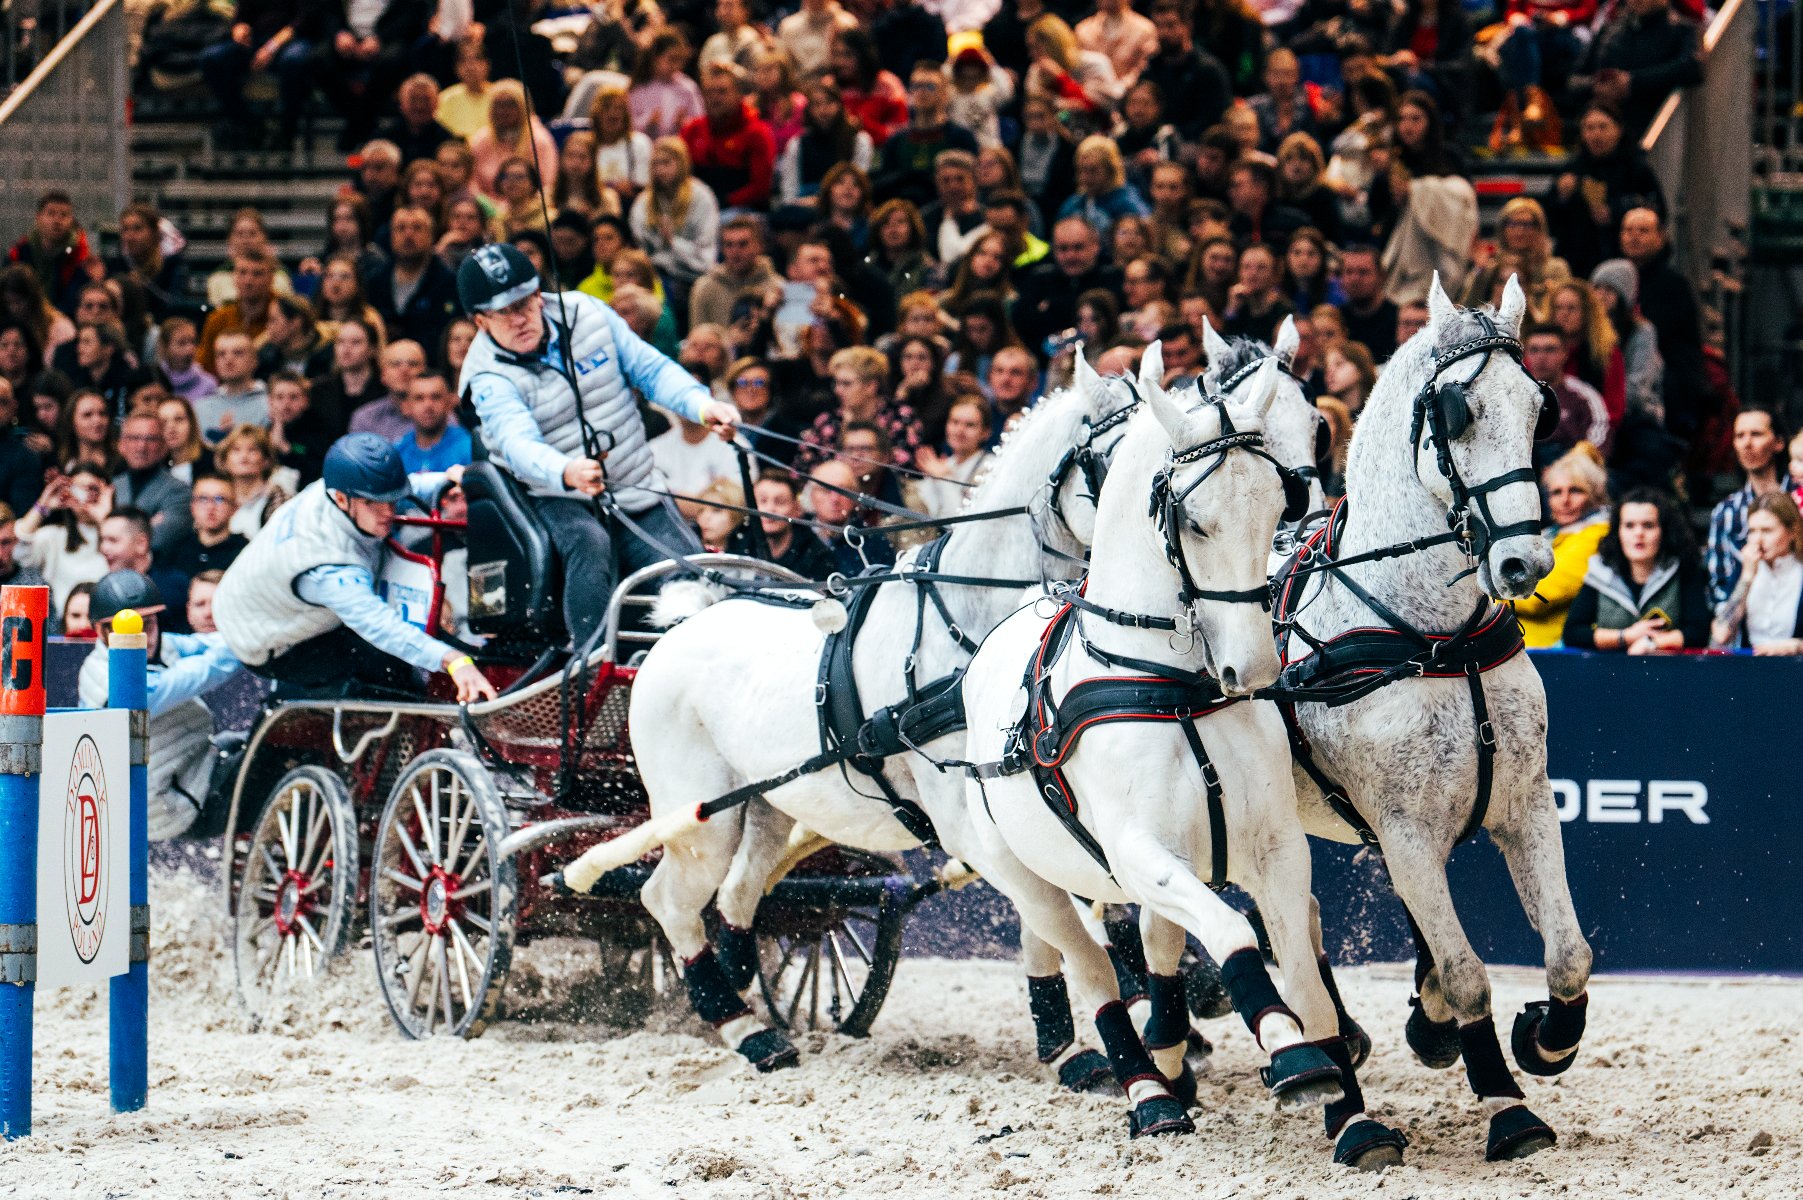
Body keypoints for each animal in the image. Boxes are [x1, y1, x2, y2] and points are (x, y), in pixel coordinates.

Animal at [959, 353, 1406, 1160]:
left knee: (1156, 944)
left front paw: (1352, 1114)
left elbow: (1302, 974)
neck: (1169, 688)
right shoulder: (1139, 851)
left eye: (1276, 505)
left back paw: (1169, 1058)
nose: (1253, 670)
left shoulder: (1274, 848)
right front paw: (1290, 1055)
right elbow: (1231, 934)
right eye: (1193, 521)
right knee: (1095, 971)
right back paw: (1147, 1092)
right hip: (1030, 879)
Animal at [1276, 275, 1586, 1153]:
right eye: (1455, 412)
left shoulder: (1525, 804)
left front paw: (1544, 1040)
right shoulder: (1405, 829)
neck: (1434, 638)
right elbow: (1467, 971)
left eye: (1539, 408)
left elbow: (1568, 955)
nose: (1524, 562)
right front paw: (1506, 1103)